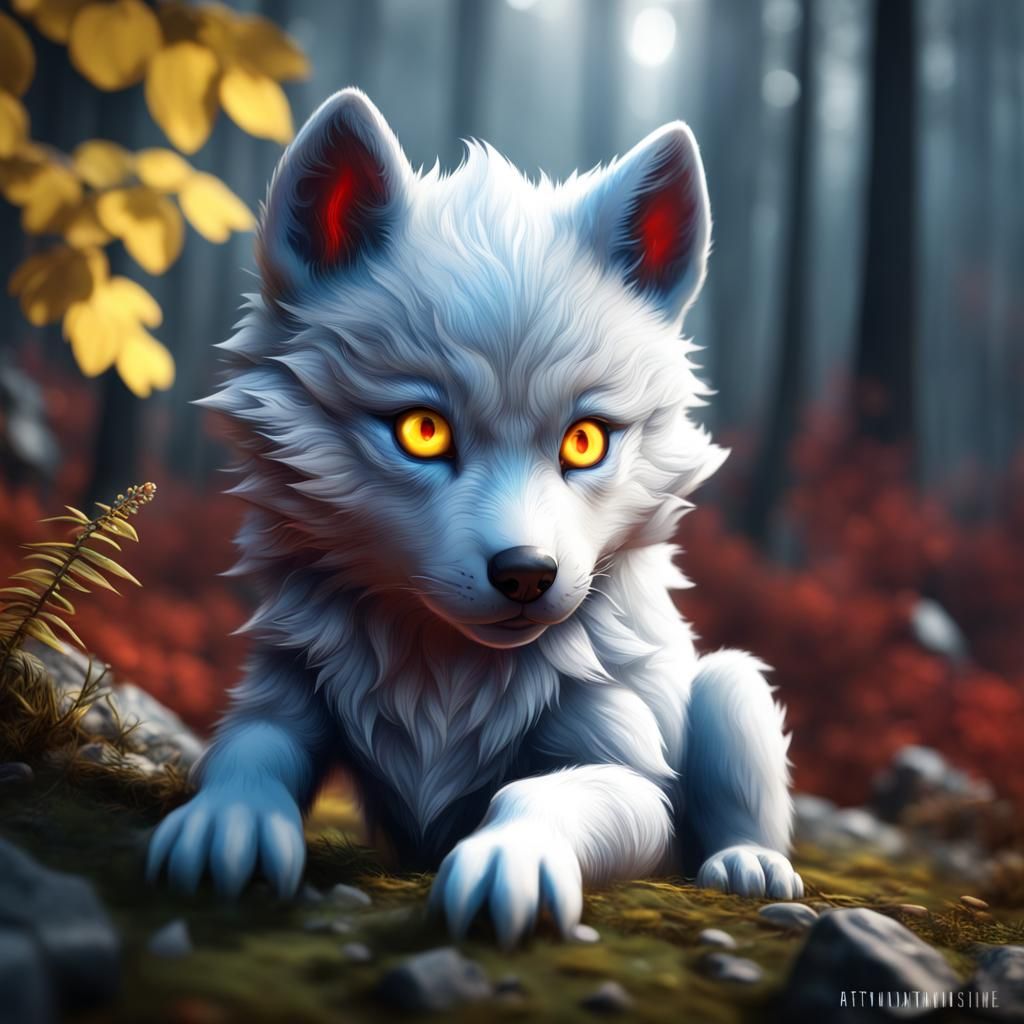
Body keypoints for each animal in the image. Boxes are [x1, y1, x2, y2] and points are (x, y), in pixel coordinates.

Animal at [147, 89, 801, 946]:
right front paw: (227, 824)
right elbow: (247, 752)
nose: (527, 574)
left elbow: (538, 793)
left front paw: (508, 861)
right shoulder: (285, 691)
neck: (447, 673)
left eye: (586, 440)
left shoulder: (634, 778)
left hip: (730, 684)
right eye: (422, 431)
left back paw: (749, 865)